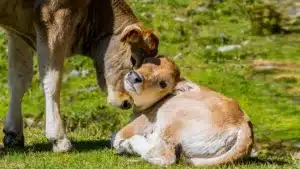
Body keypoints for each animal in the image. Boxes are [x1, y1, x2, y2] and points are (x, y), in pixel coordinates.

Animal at [112, 56, 253, 166]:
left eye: (163, 83)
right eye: (146, 61)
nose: (134, 76)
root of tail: (242, 124)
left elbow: (117, 137)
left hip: (172, 121)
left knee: (164, 154)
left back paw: (131, 143)